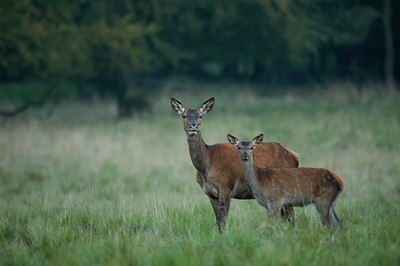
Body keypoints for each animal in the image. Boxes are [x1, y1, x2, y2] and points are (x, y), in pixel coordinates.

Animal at [170, 96, 298, 232]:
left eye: (201, 116)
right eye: (184, 115)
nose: (193, 127)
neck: (207, 166)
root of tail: (295, 156)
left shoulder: (226, 187)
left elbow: (223, 219)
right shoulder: (210, 193)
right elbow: (218, 220)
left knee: (292, 216)